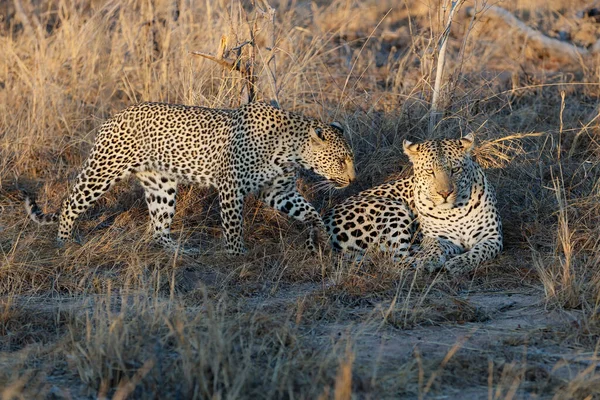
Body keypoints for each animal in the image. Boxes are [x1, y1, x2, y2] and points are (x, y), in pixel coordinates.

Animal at [25, 101, 354, 255]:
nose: (352, 180)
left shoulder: (279, 191)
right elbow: (233, 225)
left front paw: (321, 236)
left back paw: (179, 250)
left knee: (158, 227)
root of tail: (113, 117)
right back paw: (64, 242)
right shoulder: (231, 187)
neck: (289, 151)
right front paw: (236, 255)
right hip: (104, 169)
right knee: (71, 203)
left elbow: (310, 211)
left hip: (161, 185)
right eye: (340, 160)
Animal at [324, 134, 502, 276]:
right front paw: (430, 259)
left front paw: (459, 263)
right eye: (430, 171)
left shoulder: (492, 237)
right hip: (392, 209)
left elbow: (478, 251)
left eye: (455, 170)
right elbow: (433, 246)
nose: (445, 193)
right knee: (396, 258)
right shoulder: (438, 237)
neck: (454, 212)